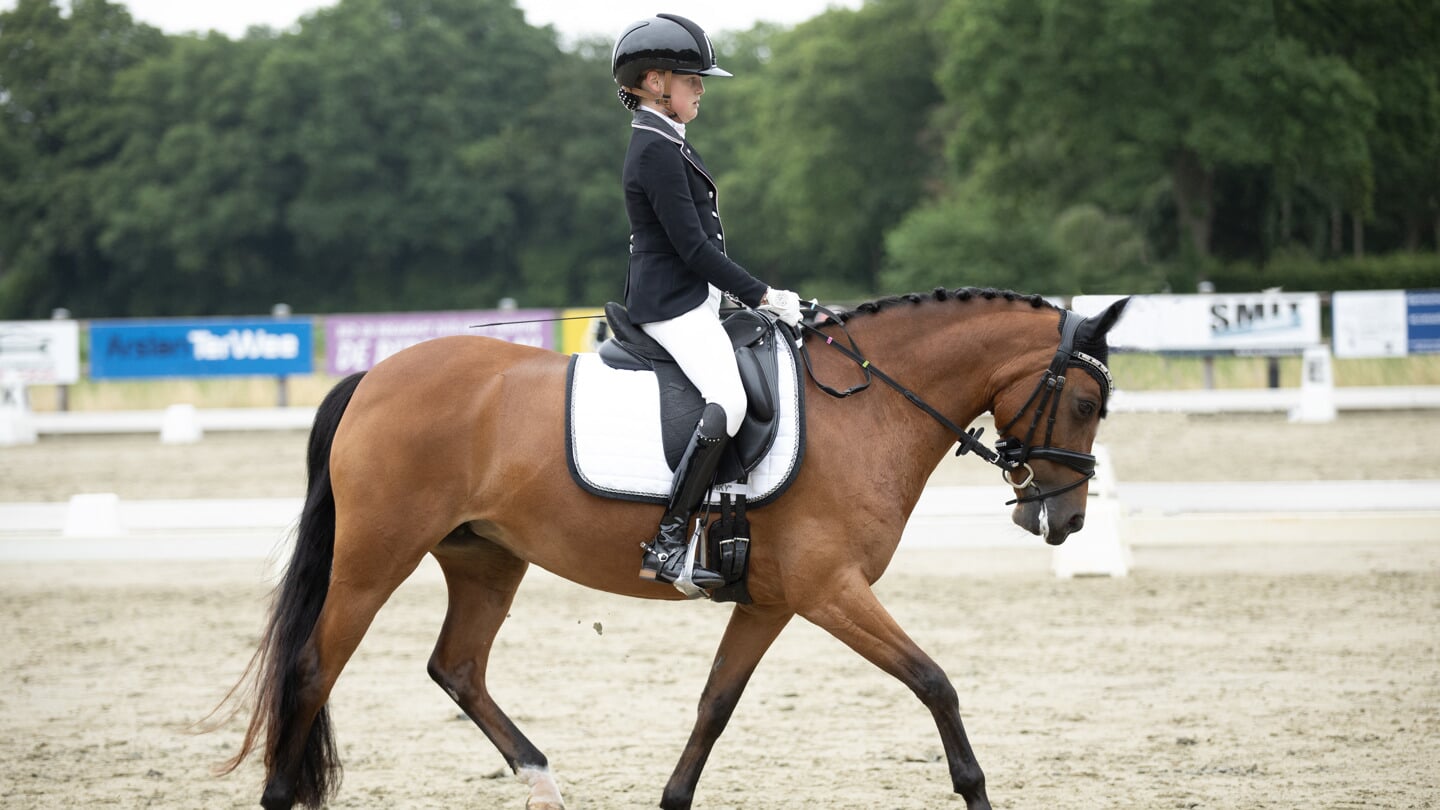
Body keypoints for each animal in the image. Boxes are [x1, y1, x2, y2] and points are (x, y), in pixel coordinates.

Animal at [218, 286, 1128, 801]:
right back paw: (280, 796)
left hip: (486, 557)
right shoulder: (831, 589)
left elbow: (714, 706)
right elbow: (936, 684)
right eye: (1086, 404)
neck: (868, 405)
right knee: (314, 668)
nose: (1065, 522)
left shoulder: (772, 602)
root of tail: (375, 377)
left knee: (458, 668)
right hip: (376, 557)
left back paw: (543, 782)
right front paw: (975, 789)